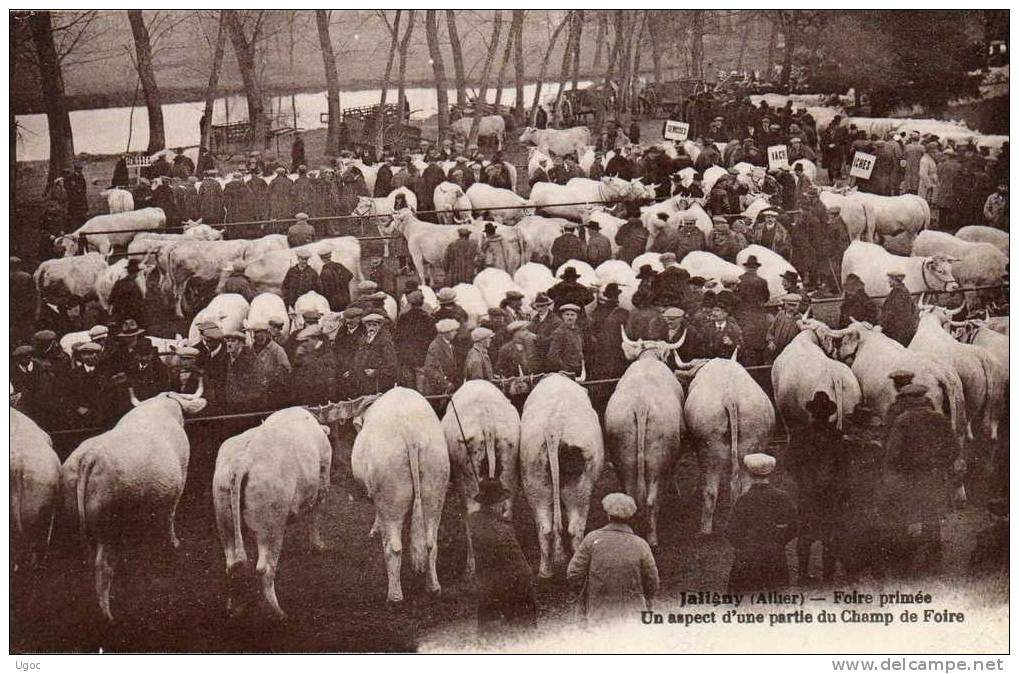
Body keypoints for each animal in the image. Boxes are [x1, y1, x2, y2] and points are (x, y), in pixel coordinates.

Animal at [212, 407, 332, 615]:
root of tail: (242, 461)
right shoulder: (323, 480)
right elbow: (315, 515)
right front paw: (319, 546)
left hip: (223, 512)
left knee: (231, 563)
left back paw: (234, 608)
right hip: (271, 523)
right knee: (265, 568)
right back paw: (279, 613)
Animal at [352, 385, 448, 603]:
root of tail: (412, 434)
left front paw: (374, 530)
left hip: (391, 485)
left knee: (394, 546)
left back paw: (394, 597)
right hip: (435, 478)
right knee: (430, 542)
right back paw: (433, 588)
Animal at [521, 375, 599, 575]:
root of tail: (553, 428)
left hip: (534, 482)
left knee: (545, 528)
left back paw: (545, 572)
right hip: (579, 487)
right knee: (575, 529)